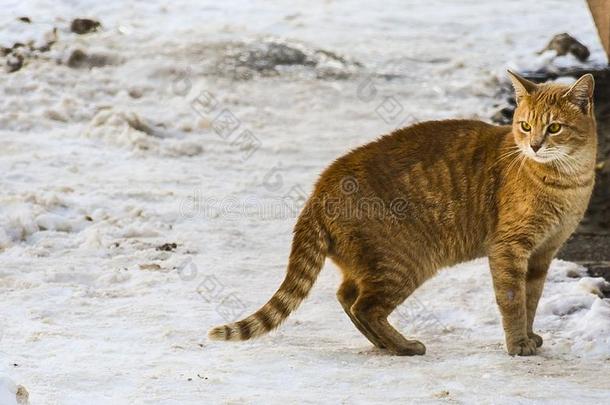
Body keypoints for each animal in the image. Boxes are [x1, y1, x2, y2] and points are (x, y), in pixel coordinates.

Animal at [209, 71, 592, 356]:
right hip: (404, 262)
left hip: (373, 263)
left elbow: (532, 298)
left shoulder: (543, 253)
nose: (535, 145)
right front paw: (517, 344)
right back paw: (404, 346)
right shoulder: (509, 248)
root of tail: (319, 189)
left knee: (347, 297)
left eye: (554, 127)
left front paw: (530, 336)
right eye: (525, 126)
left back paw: (386, 344)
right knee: (364, 306)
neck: (568, 181)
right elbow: (512, 300)